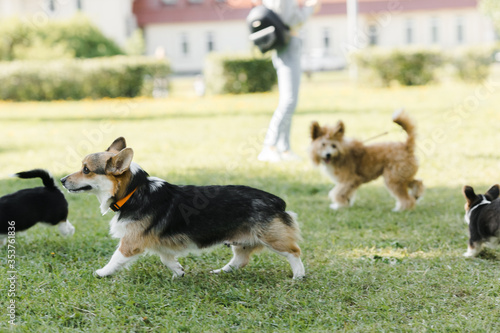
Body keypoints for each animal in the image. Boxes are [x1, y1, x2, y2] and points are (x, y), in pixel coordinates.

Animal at [62, 136, 304, 278]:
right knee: (240, 260)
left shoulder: (131, 242)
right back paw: (220, 272)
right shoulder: (159, 243)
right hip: (241, 241)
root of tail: (276, 201)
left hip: (273, 239)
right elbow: (167, 259)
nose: (63, 180)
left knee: (294, 252)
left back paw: (298, 276)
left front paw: (101, 272)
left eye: (86, 169)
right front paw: (178, 272)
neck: (133, 192)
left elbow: (116, 258)